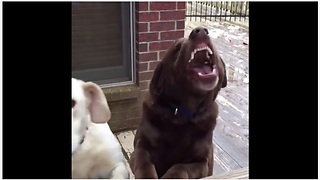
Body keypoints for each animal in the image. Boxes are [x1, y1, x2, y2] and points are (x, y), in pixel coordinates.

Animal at [129, 26, 228, 179]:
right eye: (178, 48)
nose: (200, 30)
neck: (183, 114)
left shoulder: (202, 162)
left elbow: (180, 167)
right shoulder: (141, 146)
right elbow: (143, 161)